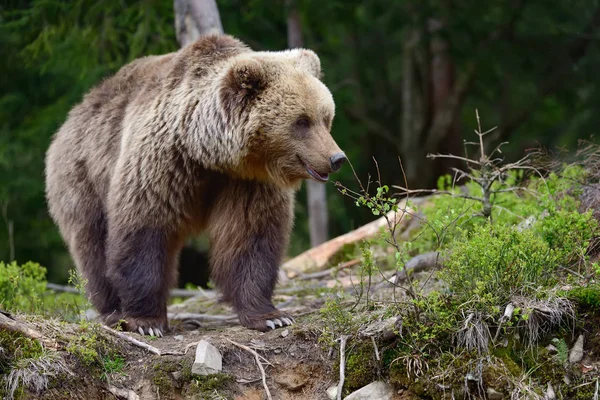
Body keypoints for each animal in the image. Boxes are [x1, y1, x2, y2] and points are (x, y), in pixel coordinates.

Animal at [44, 34, 344, 336]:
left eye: (326, 117)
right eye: (302, 121)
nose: (336, 158)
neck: (208, 154)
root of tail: (72, 115)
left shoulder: (247, 183)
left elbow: (251, 238)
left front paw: (270, 315)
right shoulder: (162, 163)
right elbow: (143, 229)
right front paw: (146, 322)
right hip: (83, 177)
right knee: (92, 245)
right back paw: (113, 312)